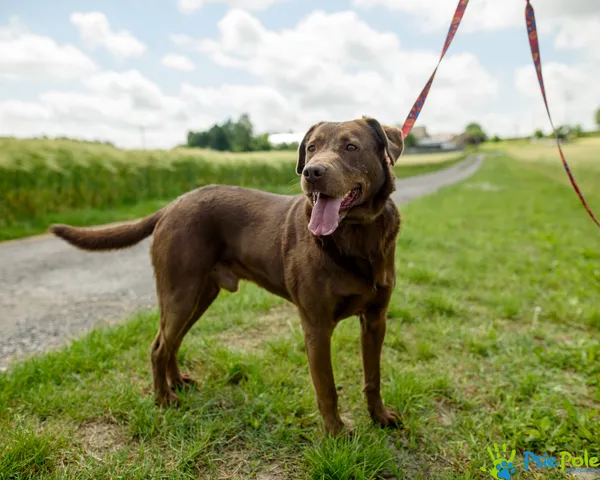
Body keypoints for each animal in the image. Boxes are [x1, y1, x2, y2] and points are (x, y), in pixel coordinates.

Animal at [51, 116, 406, 436]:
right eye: (312, 148)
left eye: (351, 147)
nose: (311, 172)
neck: (357, 235)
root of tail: (171, 205)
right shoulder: (316, 326)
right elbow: (327, 388)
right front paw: (336, 434)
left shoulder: (376, 319)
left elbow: (372, 376)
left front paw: (380, 417)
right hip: (179, 293)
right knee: (158, 346)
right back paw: (164, 398)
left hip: (200, 296)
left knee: (172, 342)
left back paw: (177, 382)